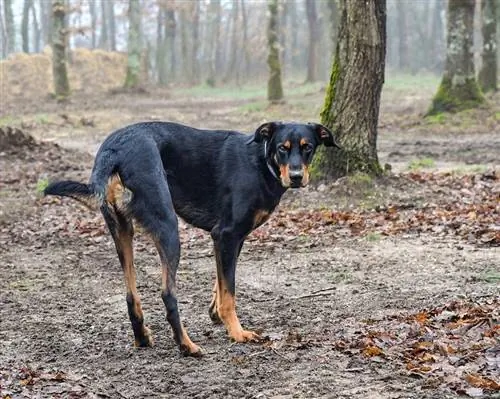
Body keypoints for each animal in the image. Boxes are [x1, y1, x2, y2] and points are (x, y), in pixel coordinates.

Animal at [45, 121, 340, 356]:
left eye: (307, 147)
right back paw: (186, 345)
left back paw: (142, 337)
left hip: (121, 229)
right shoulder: (227, 234)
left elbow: (221, 282)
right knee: (167, 294)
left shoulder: (230, 240)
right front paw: (237, 332)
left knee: (130, 294)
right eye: (282, 148)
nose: (297, 177)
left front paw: (215, 311)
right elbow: (230, 291)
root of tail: (113, 150)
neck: (261, 163)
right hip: (168, 227)